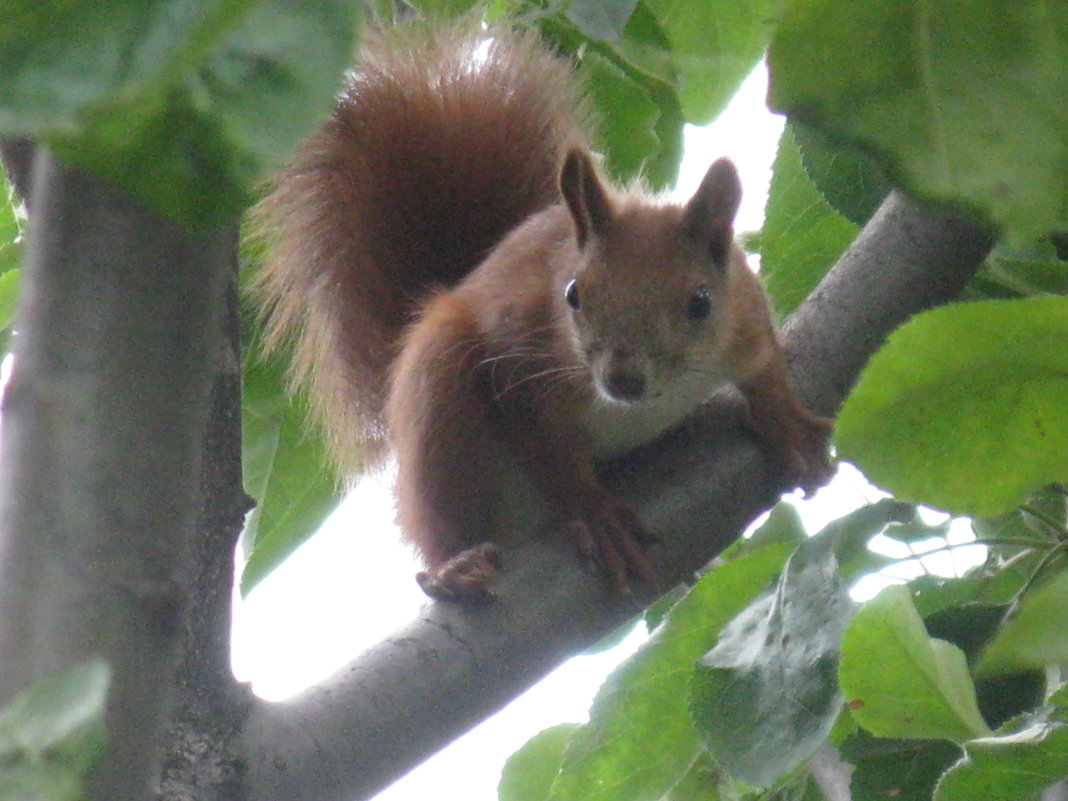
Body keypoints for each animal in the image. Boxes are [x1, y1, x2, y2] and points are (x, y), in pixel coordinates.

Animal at [252, 20, 833, 602]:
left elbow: (765, 367)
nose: (623, 379)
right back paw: (453, 567)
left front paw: (786, 419)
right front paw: (593, 512)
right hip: (438, 399)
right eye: (573, 293)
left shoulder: (746, 315)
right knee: (438, 510)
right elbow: (547, 453)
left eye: (700, 302)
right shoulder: (518, 360)